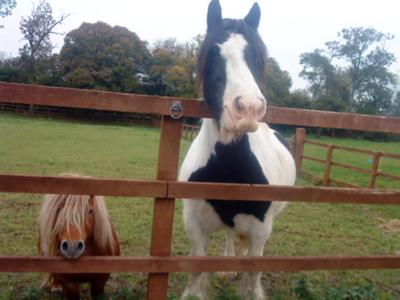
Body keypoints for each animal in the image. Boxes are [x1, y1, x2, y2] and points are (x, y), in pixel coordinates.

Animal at [179, 1, 296, 298]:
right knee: (231, 235)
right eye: (212, 51)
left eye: (258, 56)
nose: (248, 109)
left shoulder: (261, 231)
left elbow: (253, 275)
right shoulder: (194, 227)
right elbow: (196, 274)